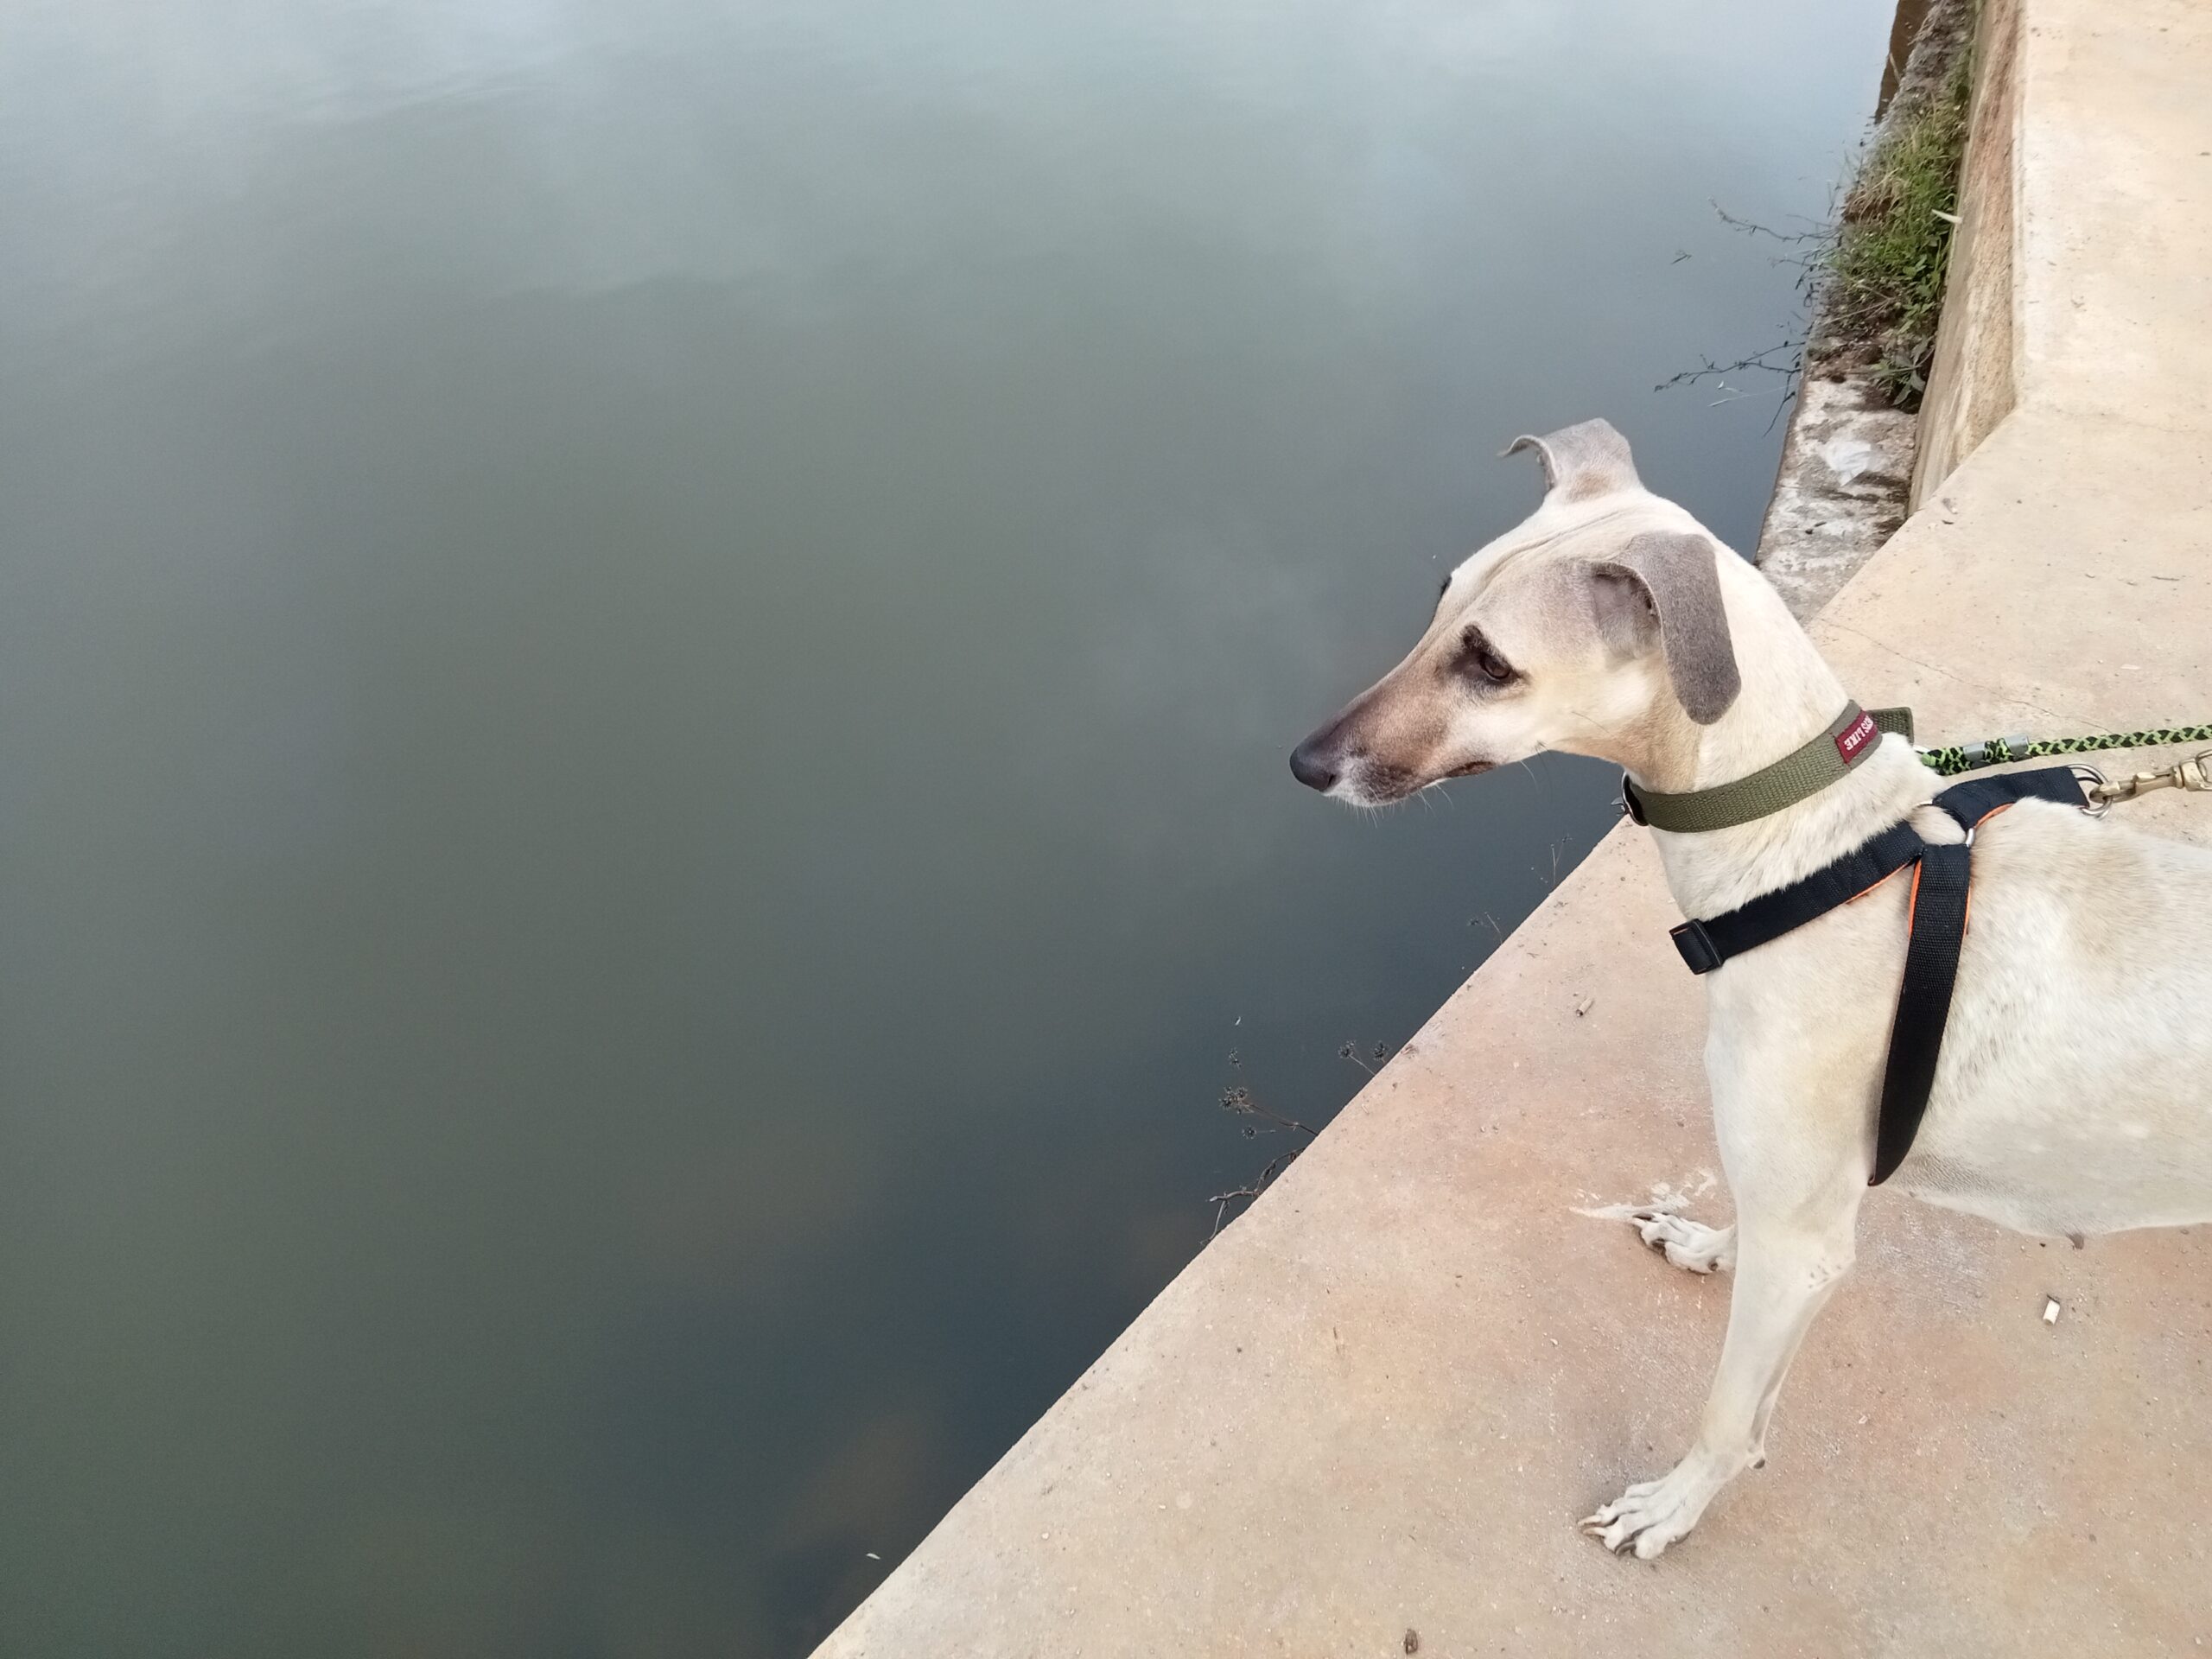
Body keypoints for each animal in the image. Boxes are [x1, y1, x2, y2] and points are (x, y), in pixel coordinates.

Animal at [1292, 422, 2212, 1566]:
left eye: (1490, 662)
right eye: (1440, 598)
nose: (1303, 764)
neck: (1814, 855)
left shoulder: (1806, 1241)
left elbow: (1731, 1416)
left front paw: (1671, 1507)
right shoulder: (1791, 1203)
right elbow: (1744, 1225)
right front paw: (1704, 1246)